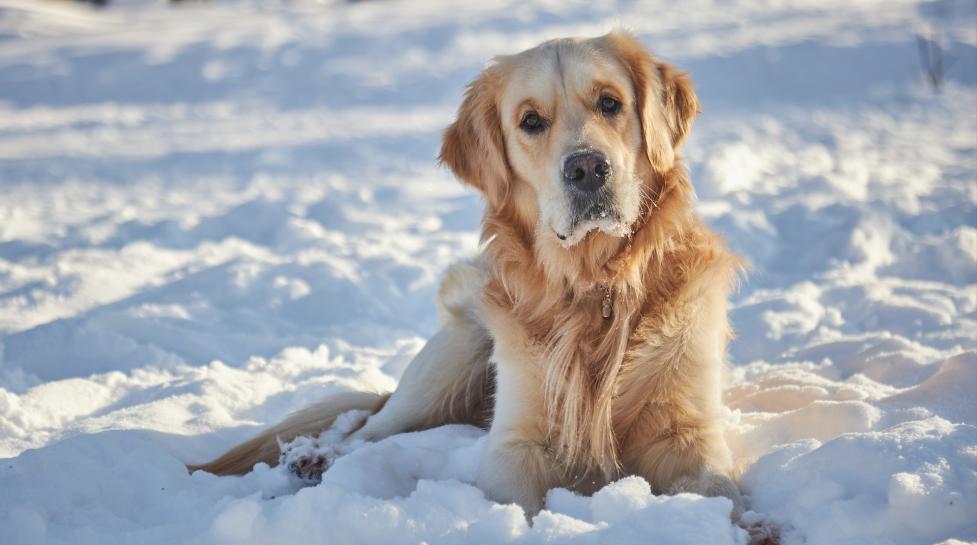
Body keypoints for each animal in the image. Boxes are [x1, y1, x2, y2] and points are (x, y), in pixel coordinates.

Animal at [189, 30, 740, 520]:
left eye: (610, 103)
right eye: (531, 121)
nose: (587, 169)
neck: (595, 286)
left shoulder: (689, 434)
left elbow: (719, 492)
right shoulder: (517, 442)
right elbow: (513, 502)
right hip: (450, 362)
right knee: (363, 430)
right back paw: (314, 457)